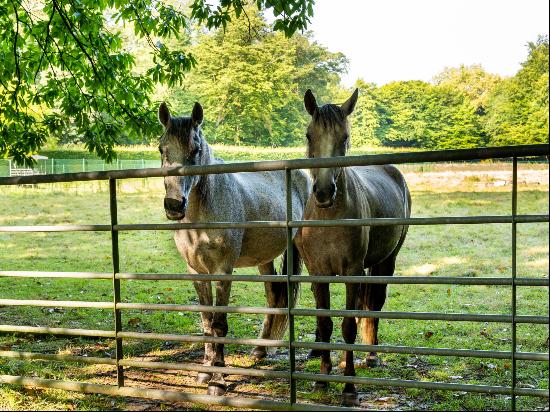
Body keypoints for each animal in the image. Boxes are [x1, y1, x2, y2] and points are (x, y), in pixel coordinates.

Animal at [158, 101, 310, 398]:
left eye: (196, 151)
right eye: (162, 148)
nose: (174, 205)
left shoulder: (223, 269)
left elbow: (219, 323)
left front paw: (218, 381)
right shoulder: (196, 271)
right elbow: (206, 321)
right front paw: (205, 373)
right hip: (264, 259)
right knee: (273, 295)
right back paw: (260, 350)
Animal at [296, 88, 412, 408]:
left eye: (344, 137)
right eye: (309, 135)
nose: (324, 192)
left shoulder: (351, 271)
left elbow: (348, 325)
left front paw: (349, 388)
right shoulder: (318, 273)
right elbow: (325, 324)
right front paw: (322, 380)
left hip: (386, 262)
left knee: (374, 305)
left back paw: (371, 356)